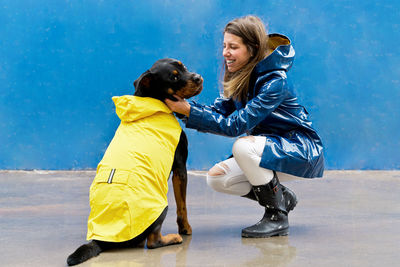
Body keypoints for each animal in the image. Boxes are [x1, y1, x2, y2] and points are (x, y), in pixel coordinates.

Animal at [67, 58, 203, 266]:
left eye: (184, 67)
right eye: (173, 77)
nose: (198, 77)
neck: (152, 101)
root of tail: (101, 239)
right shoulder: (180, 167)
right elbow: (183, 206)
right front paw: (186, 229)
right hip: (161, 206)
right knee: (153, 241)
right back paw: (173, 238)